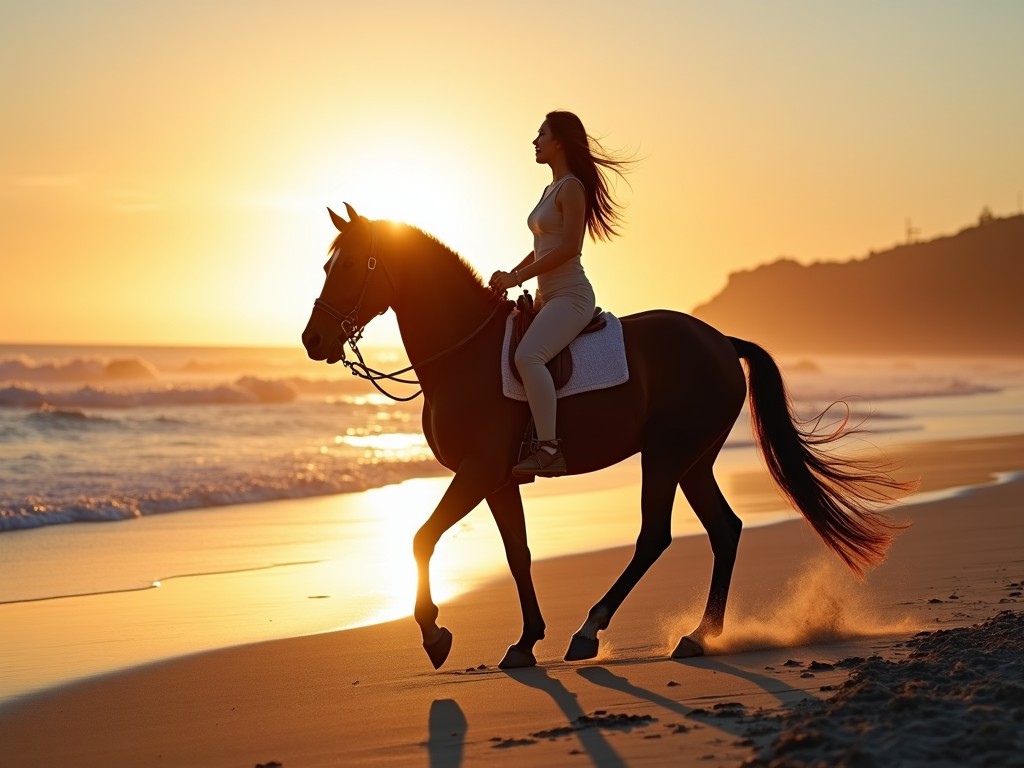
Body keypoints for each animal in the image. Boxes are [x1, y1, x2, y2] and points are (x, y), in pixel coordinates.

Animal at [299, 205, 909, 671]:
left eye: (349, 264)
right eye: (326, 263)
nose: (313, 339)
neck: (465, 354)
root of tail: (719, 340)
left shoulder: (477, 470)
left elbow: (422, 539)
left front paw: (433, 635)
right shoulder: (497, 479)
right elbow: (517, 553)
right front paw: (524, 642)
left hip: (665, 456)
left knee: (655, 537)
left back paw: (591, 631)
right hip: (694, 462)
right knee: (725, 529)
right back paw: (697, 636)